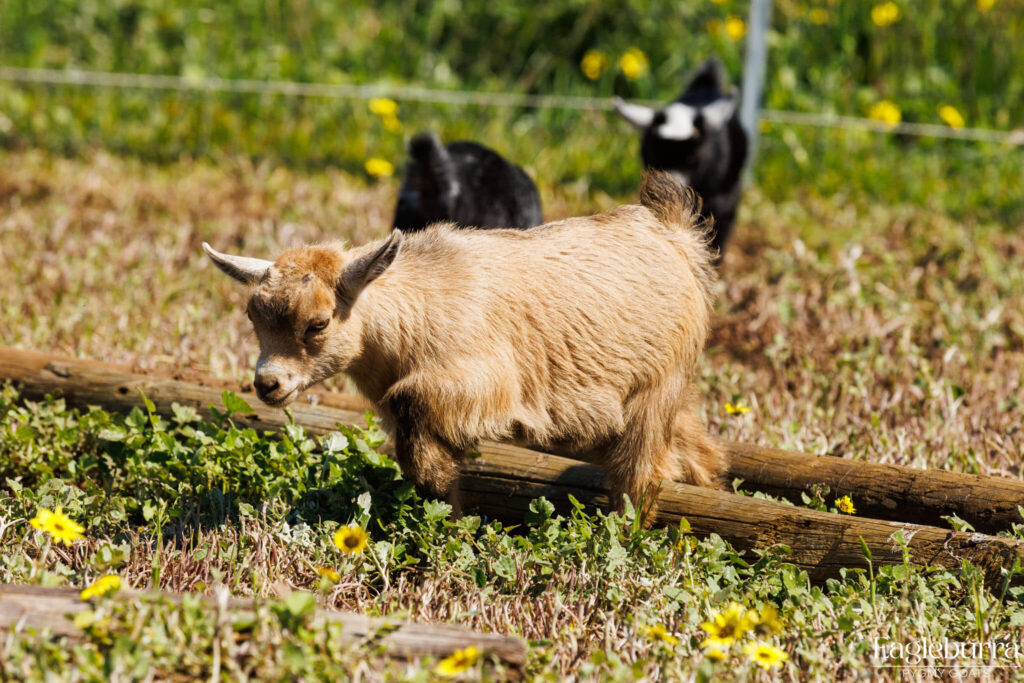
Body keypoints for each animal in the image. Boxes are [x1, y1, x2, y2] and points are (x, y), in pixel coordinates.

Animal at [203, 172, 725, 521]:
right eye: (253, 317)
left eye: (318, 322)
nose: (267, 383)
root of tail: (674, 234)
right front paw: (443, 501)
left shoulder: (490, 382)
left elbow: (412, 401)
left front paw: (437, 478)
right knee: (691, 446)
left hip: (656, 390)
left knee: (641, 473)